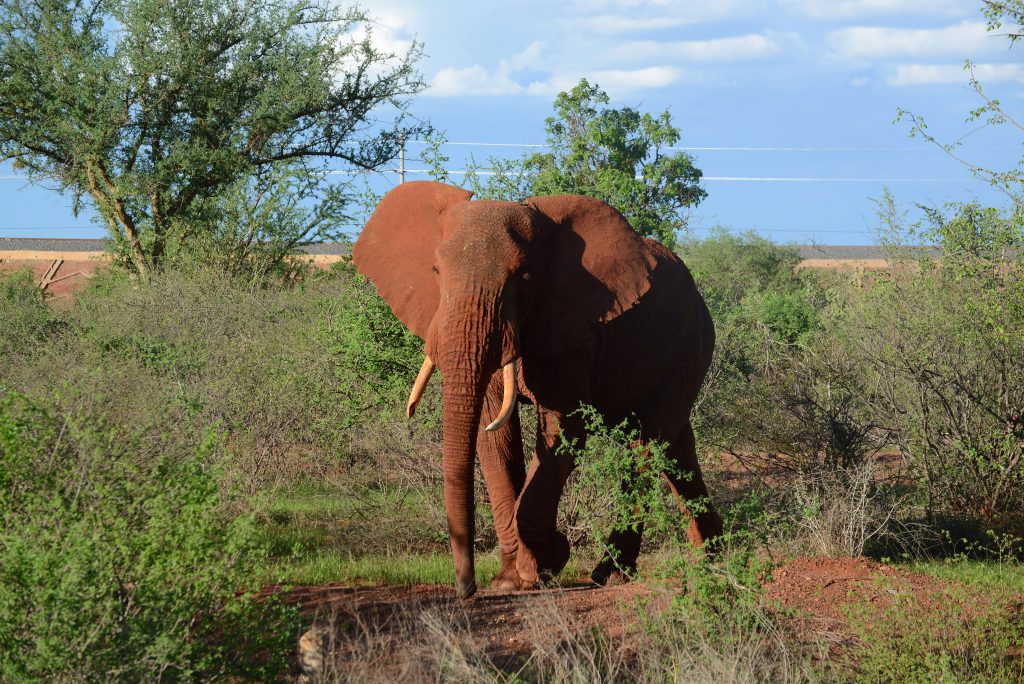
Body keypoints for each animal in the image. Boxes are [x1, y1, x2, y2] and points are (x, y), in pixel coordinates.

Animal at [352, 181, 723, 598]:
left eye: (525, 279)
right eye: (435, 270)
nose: (466, 588)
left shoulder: (574, 330)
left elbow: (564, 427)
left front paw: (544, 564)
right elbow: (493, 433)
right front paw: (510, 579)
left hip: (691, 344)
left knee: (647, 443)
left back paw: (610, 574)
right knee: (675, 443)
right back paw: (711, 553)